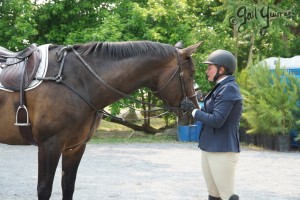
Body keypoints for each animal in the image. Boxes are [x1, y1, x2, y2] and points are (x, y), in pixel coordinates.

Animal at [0, 40, 202, 198]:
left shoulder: (75, 147)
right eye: (191, 73)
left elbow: (68, 186)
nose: (193, 110)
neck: (78, 80)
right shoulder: (49, 145)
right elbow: (44, 190)